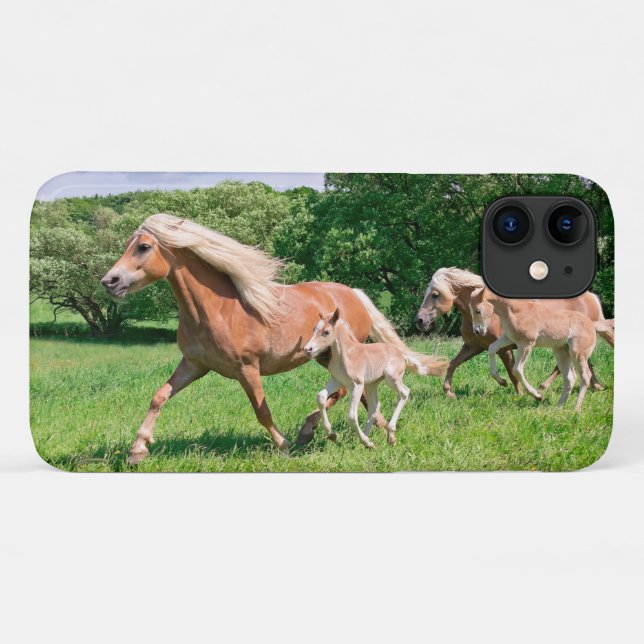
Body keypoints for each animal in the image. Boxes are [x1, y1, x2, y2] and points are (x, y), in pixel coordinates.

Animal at [303, 308, 429, 448]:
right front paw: (332, 435)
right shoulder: (337, 380)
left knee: (404, 392)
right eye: (314, 329)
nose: (307, 349)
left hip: (391, 378)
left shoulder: (356, 385)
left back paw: (388, 436)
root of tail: (402, 355)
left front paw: (363, 441)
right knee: (374, 406)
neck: (346, 355)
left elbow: (352, 416)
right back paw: (368, 439)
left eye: (326, 332)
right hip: (371, 384)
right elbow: (320, 397)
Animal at [414, 267, 608, 397]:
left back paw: (545, 387)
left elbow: (511, 372)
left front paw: (516, 390)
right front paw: (449, 392)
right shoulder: (473, 346)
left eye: (435, 294)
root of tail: (591, 297)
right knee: (583, 363)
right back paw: (595, 386)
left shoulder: (504, 348)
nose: (419, 320)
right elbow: (452, 364)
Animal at [469, 287, 614, 411]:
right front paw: (501, 381)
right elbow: (491, 348)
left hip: (577, 353)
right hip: (562, 352)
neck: (515, 311)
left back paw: (576, 409)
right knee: (570, 378)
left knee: (585, 377)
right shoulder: (508, 338)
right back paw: (558, 407)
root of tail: (592, 324)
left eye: (478, 310)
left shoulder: (526, 344)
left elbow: (517, 370)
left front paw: (537, 396)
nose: (477, 331)